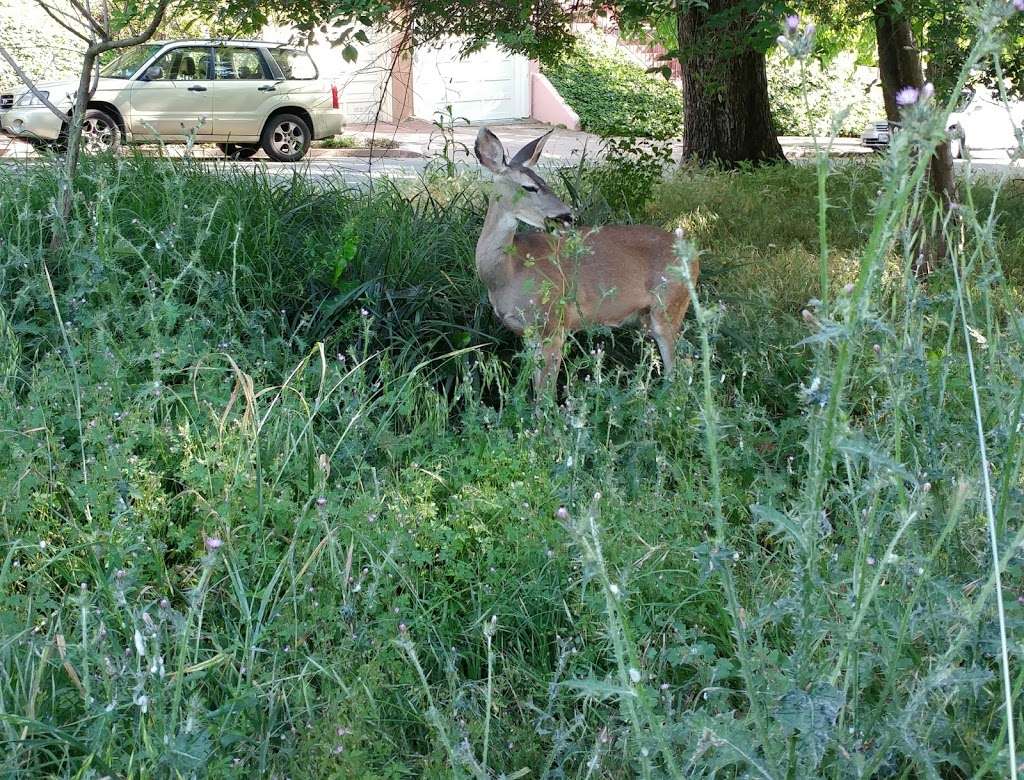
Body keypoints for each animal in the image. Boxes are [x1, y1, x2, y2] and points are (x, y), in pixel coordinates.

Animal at [473, 128, 700, 395]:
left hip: (670, 305)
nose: (567, 215)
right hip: (647, 317)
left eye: (544, 182)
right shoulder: (527, 332)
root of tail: (694, 255)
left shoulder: (554, 323)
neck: (507, 273)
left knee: (680, 365)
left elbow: (545, 394)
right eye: (529, 187)